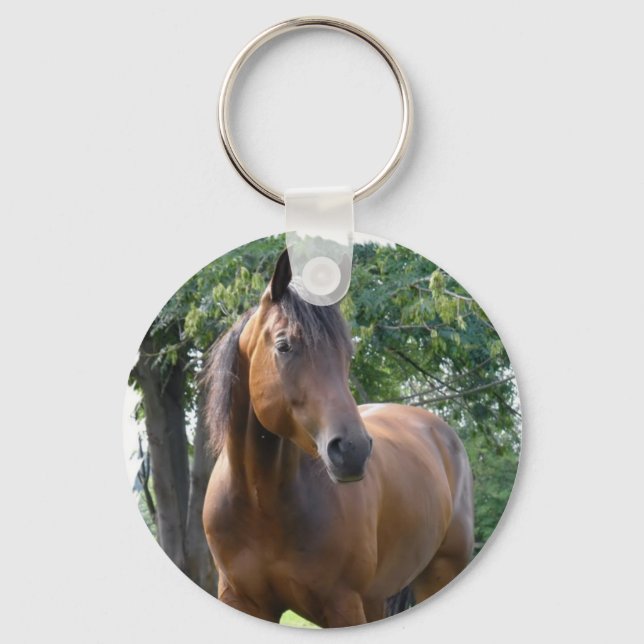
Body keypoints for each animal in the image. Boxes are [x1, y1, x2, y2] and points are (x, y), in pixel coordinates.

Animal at [202, 250, 474, 627]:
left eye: (347, 353)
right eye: (284, 345)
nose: (352, 450)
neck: (261, 503)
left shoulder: (343, 605)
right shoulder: (241, 600)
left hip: (439, 574)